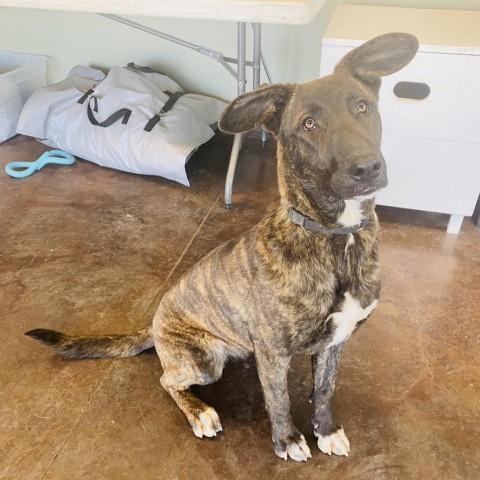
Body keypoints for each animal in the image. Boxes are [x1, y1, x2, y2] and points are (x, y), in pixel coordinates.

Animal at [26, 33, 416, 462]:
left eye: (362, 106)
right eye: (308, 124)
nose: (366, 168)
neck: (336, 237)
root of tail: (154, 324)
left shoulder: (335, 342)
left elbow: (325, 390)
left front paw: (326, 430)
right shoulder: (274, 354)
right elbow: (278, 400)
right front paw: (287, 440)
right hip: (204, 360)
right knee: (167, 380)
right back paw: (200, 412)